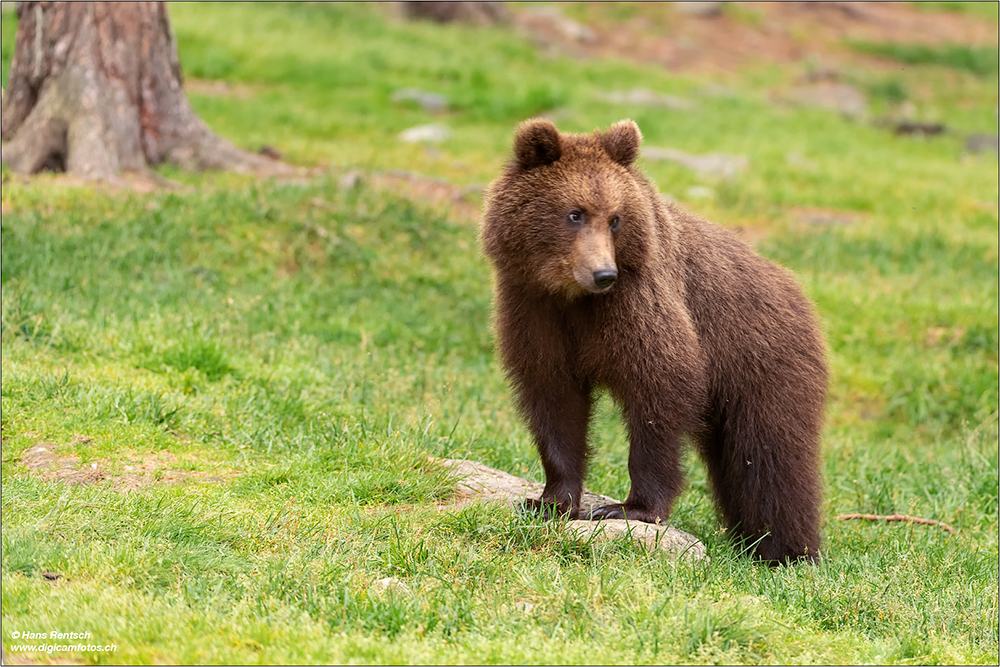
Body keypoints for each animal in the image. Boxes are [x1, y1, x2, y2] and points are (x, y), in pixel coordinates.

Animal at [480, 118, 824, 564]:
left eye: (615, 218)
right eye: (575, 213)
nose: (603, 274)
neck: (572, 296)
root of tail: (797, 290)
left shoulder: (638, 307)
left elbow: (658, 391)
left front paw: (630, 508)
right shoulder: (534, 311)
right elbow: (554, 400)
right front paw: (550, 501)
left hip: (762, 361)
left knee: (768, 455)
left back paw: (784, 549)